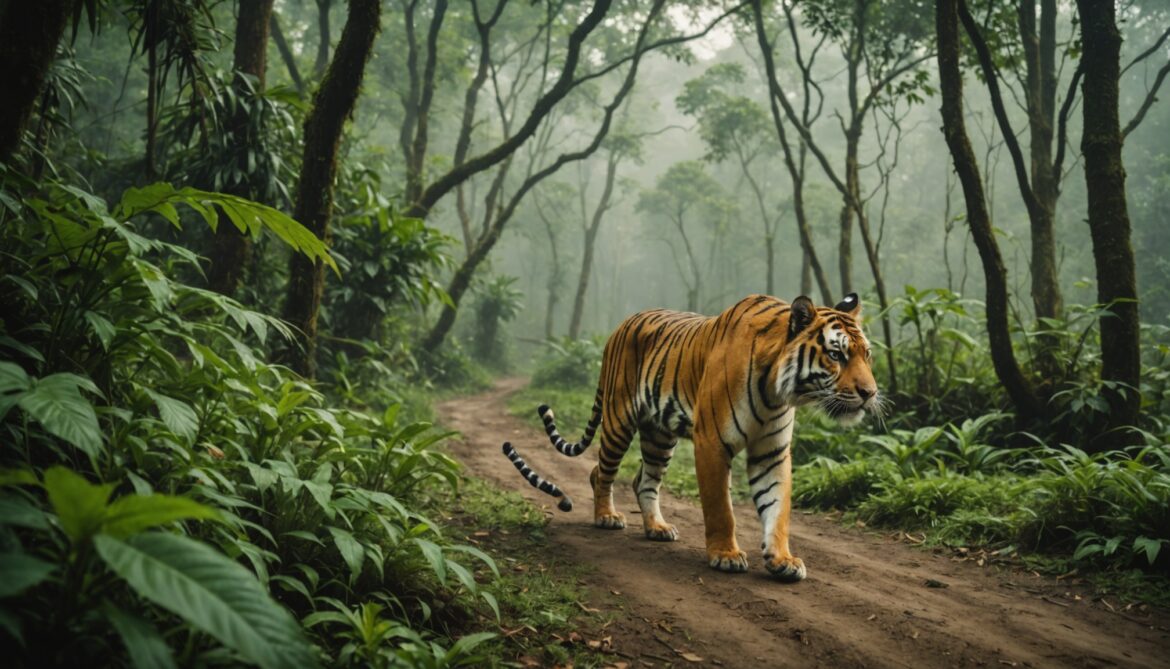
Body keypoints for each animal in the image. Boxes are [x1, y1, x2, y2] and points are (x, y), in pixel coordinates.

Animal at [502, 293, 879, 581]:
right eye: (836, 354)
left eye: (866, 354)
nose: (870, 393)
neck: (776, 390)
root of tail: (619, 327)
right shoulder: (711, 442)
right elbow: (720, 507)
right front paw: (726, 555)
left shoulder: (772, 451)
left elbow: (778, 508)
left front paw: (782, 560)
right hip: (618, 420)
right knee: (601, 472)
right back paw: (607, 517)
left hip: (658, 435)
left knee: (644, 480)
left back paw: (657, 527)